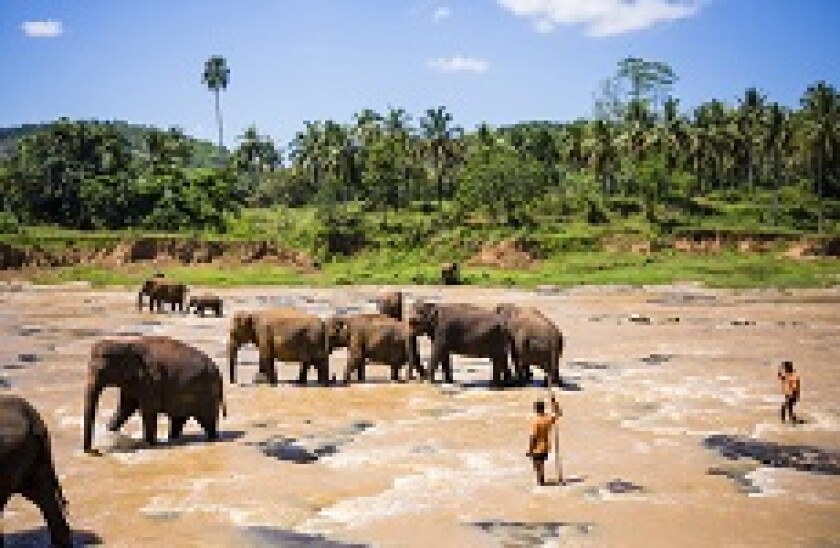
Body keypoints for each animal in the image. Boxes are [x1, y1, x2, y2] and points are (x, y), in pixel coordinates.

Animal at [82, 334, 226, 454]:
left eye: (101, 370)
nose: (95, 451)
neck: (126, 344)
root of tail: (219, 373)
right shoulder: (131, 382)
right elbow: (125, 408)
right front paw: (110, 432)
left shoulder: (150, 380)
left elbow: (148, 410)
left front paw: (149, 444)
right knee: (178, 418)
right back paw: (173, 438)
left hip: (207, 394)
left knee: (207, 421)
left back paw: (211, 439)